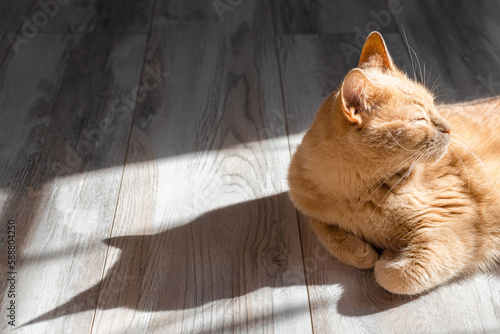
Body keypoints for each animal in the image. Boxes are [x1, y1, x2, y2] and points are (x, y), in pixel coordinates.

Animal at [288, 32, 500, 294]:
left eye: (434, 105)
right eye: (419, 120)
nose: (448, 127)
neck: (356, 195)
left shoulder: (459, 224)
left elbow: (395, 276)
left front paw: (389, 255)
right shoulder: (309, 209)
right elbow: (326, 231)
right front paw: (361, 250)